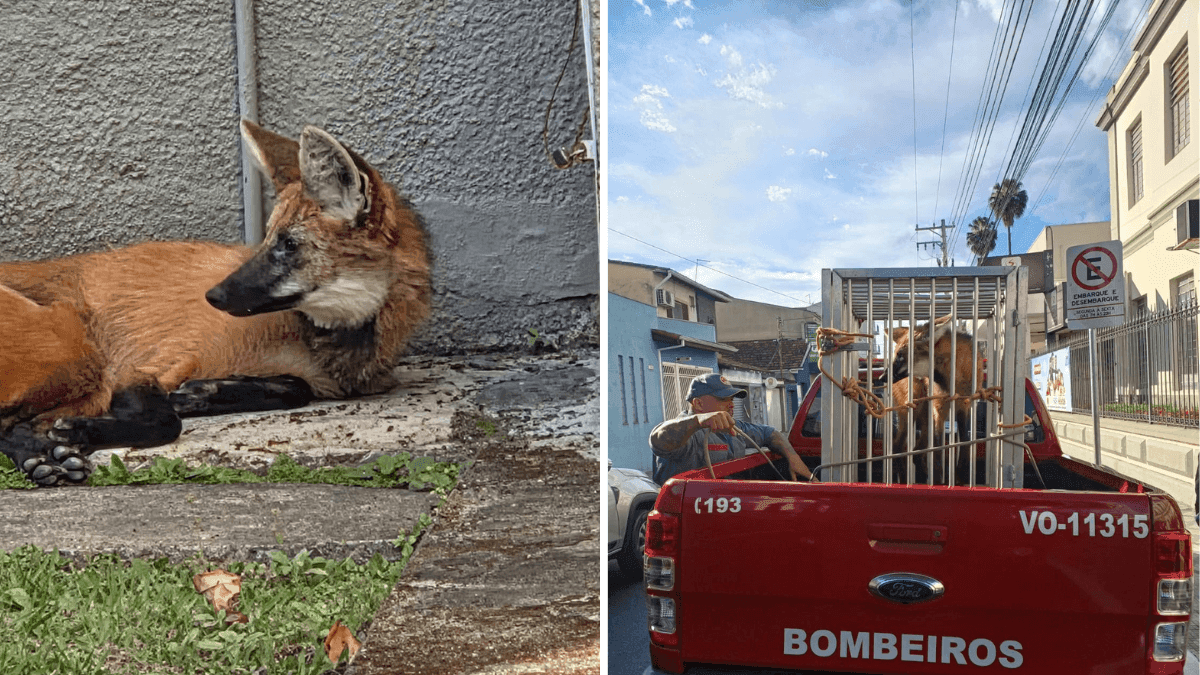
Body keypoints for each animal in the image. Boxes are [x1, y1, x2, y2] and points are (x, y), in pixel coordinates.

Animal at [0, 121, 432, 485]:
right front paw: (86, 430)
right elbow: (166, 422)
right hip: (78, 354)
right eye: (267, 239)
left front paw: (203, 394)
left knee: (15, 425)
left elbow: (295, 387)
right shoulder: (138, 370)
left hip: (83, 383)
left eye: (289, 244)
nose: (213, 296)